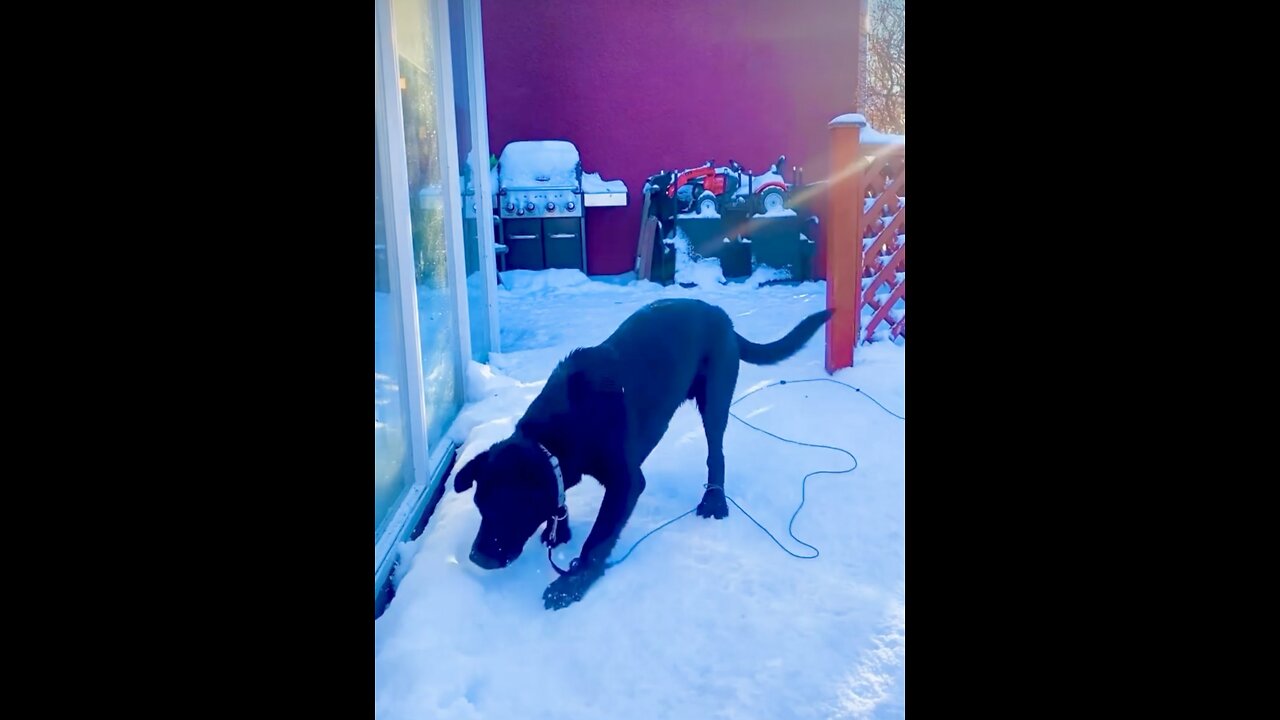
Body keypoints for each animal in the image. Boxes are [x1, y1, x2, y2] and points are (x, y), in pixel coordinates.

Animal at [450, 297, 829, 604]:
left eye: (508, 507)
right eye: (480, 505)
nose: (477, 558)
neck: (561, 433)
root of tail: (720, 314)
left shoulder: (626, 482)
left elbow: (599, 538)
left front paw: (573, 583)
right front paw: (557, 531)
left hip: (715, 399)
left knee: (716, 454)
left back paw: (714, 501)